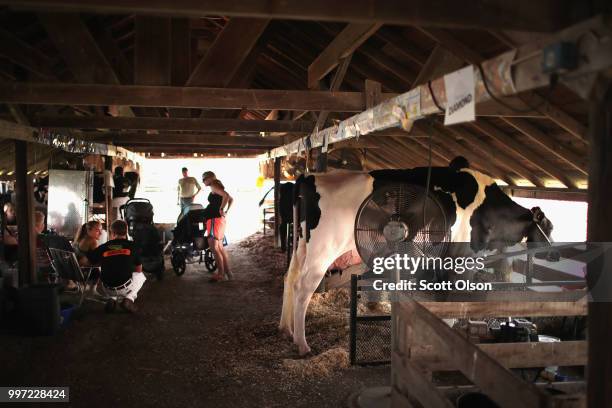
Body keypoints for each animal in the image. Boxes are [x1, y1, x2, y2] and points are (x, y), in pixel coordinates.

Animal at [282, 158, 556, 356]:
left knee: (289, 277)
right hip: (323, 249)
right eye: (549, 226)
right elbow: (454, 300)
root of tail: (311, 176)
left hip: (302, 247)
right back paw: (302, 343)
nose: (556, 253)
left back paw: (286, 329)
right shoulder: (464, 257)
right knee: (302, 287)